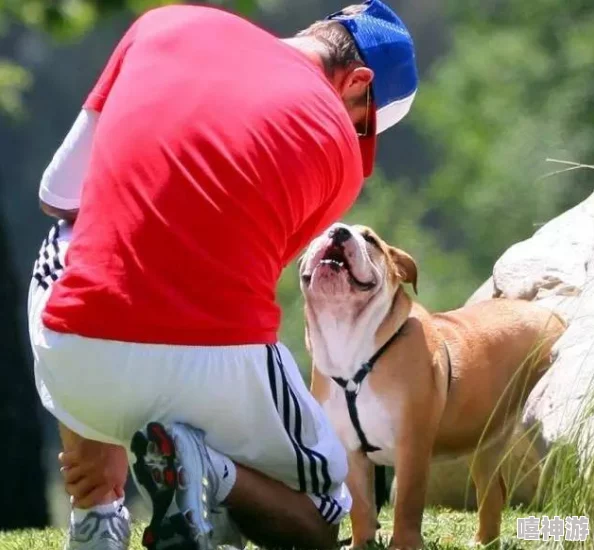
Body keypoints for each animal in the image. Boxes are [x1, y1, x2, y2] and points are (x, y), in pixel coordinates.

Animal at [298, 224, 560, 550]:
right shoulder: (351, 449)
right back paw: (484, 541)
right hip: (486, 443)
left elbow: (407, 504)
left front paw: (404, 544)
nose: (339, 231)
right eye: (322, 232)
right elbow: (361, 507)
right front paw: (361, 544)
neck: (347, 337)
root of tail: (557, 316)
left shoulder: (412, 443)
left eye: (370, 240)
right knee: (492, 491)